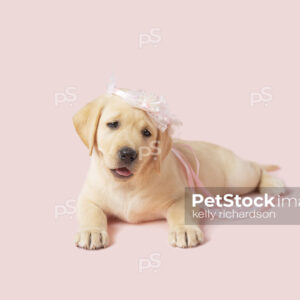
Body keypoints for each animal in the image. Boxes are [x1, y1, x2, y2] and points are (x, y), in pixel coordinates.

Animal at [72, 92, 284, 250]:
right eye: (113, 124)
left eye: (146, 133)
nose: (128, 154)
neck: (127, 185)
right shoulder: (87, 198)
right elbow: (91, 212)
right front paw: (91, 232)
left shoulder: (184, 196)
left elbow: (178, 211)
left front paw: (185, 230)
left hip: (238, 178)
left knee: (256, 168)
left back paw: (274, 183)